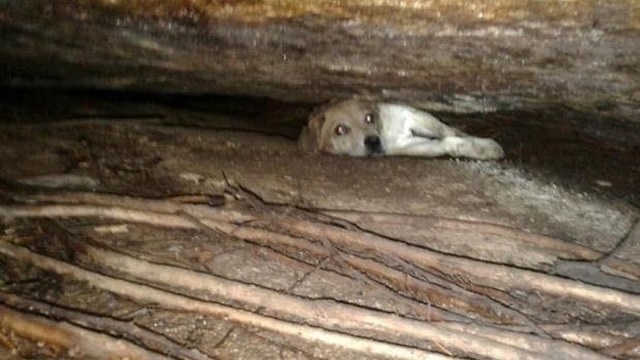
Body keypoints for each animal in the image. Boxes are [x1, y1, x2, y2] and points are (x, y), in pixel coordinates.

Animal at [300, 99, 504, 160]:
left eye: (369, 118)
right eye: (340, 130)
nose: (373, 141)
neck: (386, 131)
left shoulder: (413, 115)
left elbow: (448, 132)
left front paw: (484, 145)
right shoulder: (411, 145)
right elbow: (447, 142)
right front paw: (484, 149)